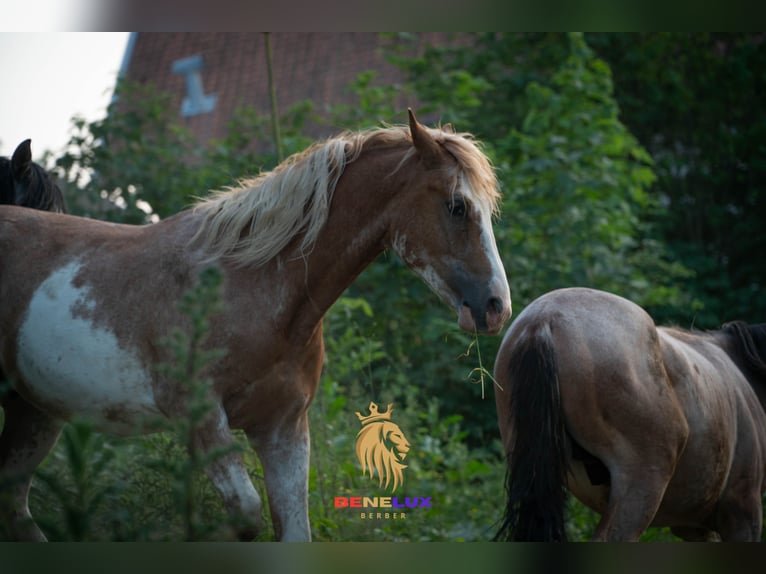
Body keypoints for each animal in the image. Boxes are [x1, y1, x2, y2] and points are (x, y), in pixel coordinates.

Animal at [1, 110, 516, 544]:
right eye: (456, 206)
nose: (496, 307)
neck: (252, 287)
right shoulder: (201, 418)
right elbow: (245, 516)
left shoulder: (283, 428)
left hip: (35, 410)